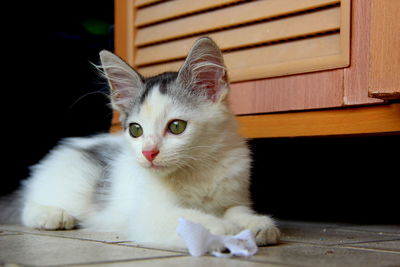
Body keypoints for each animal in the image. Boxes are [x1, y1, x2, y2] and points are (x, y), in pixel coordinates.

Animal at [16, 37, 278, 249]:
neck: (196, 169)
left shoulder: (234, 192)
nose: (148, 153)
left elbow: (236, 209)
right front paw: (223, 229)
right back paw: (52, 215)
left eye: (176, 126)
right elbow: (189, 218)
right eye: (135, 130)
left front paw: (256, 223)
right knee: (26, 207)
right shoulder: (147, 215)